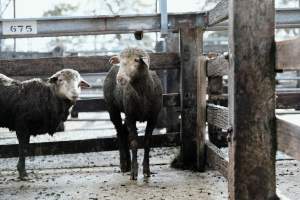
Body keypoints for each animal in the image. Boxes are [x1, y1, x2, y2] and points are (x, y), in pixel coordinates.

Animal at [104, 47, 163, 180]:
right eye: (120, 60)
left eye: (136, 60)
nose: (120, 78)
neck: (142, 96)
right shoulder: (131, 117)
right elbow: (134, 143)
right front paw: (134, 173)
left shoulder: (153, 118)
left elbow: (147, 142)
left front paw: (146, 171)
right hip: (112, 108)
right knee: (120, 132)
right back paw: (124, 164)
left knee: (124, 131)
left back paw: (128, 163)